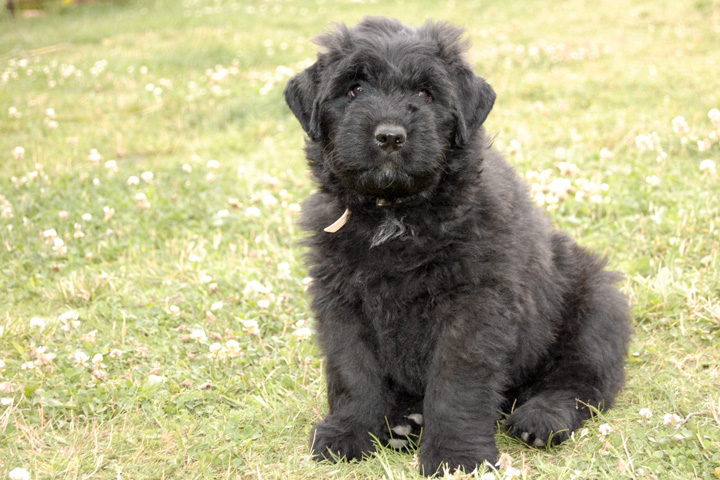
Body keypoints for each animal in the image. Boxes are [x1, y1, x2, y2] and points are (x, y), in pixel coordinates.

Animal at [284, 17, 631, 476]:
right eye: (354, 89)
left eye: (425, 93)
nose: (389, 136)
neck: (397, 214)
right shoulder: (341, 301)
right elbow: (353, 372)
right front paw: (348, 433)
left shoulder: (474, 306)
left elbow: (456, 382)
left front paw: (455, 455)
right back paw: (403, 422)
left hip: (597, 304)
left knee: (582, 380)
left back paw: (541, 417)